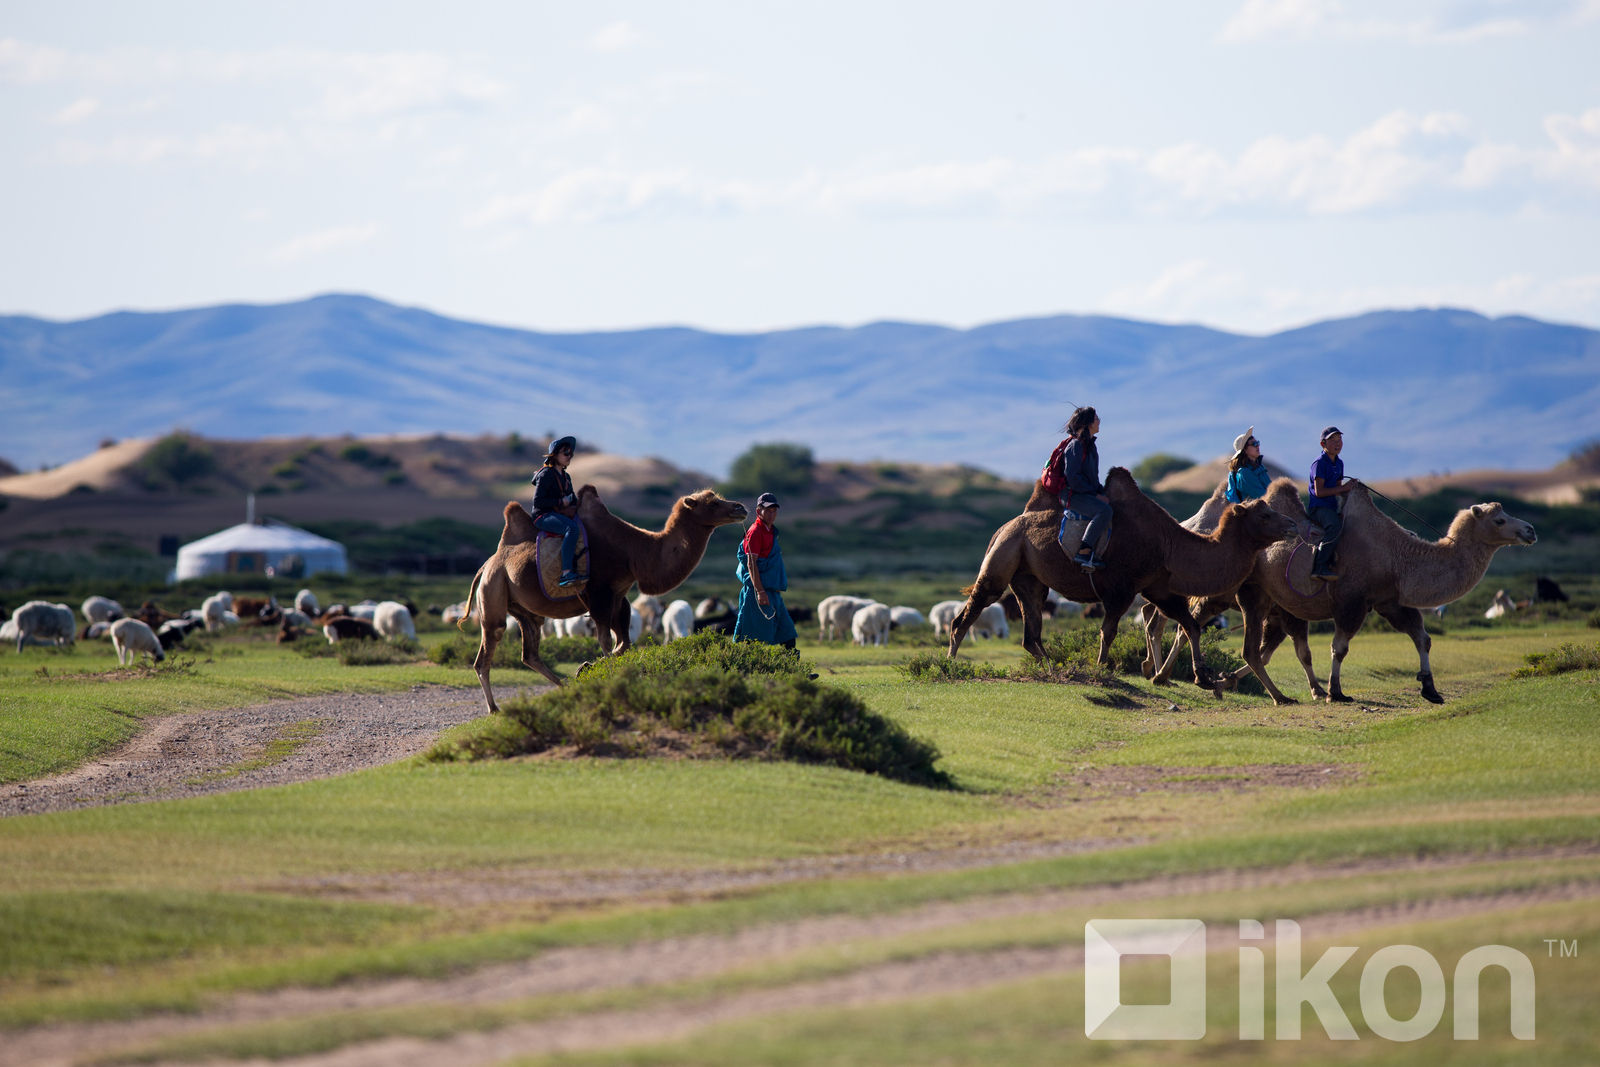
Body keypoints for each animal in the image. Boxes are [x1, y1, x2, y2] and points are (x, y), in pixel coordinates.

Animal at [464, 489, 748, 713]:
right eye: (711, 503)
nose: (741, 507)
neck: (635, 551)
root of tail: (487, 565)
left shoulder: (619, 597)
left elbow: (623, 644)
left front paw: (585, 668)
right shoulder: (599, 594)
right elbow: (606, 641)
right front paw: (598, 674)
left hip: (525, 609)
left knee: (529, 653)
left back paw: (565, 685)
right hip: (493, 592)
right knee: (487, 651)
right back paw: (494, 708)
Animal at [947, 470, 1299, 687]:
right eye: (1264, 514)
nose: (1292, 524)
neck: (1170, 545)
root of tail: (1003, 527)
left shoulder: (1158, 587)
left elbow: (1190, 625)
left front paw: (1202, 678)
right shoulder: (1121, 588)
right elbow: (1109, 631)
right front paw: (1102, 669)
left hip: (1029, 577)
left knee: (1030, 631)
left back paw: (1056, 669)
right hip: (1003, 557)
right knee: (970, 610)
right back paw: (950, 662)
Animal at [1222, 479, 1536, 703]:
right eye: (1499, 520)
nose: (1530, 530)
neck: (1398, 558)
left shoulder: (1391, 601)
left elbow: (1422, 638)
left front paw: (1430, 689)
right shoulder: (1352, 601)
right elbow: (1340, 647)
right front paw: (1337, 692)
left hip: (1279, 604)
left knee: (1270, 649)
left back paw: (1228, 680)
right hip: (1255, 593)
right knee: (1259, 649)